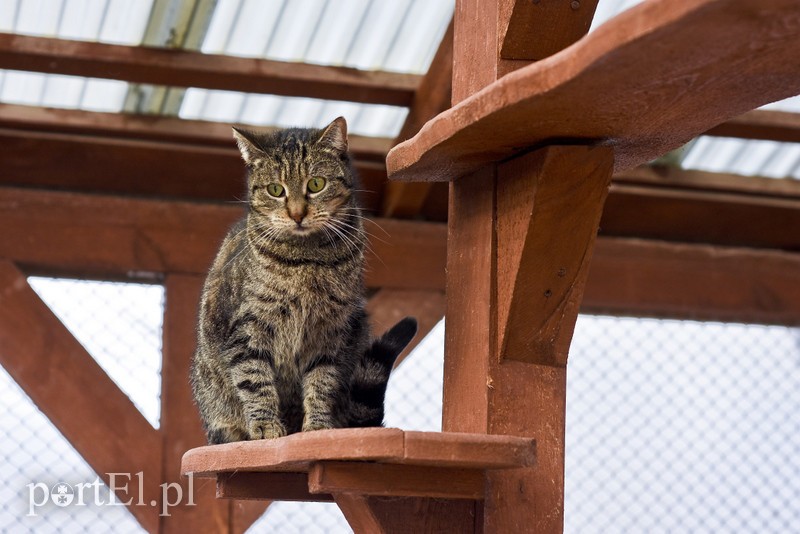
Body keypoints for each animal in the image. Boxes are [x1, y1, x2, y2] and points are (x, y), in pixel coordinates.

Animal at [192, 118, 418, 448]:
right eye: (276, 190)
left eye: (315, 184)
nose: (297, 214)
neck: (308, 260)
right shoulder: (248, 328)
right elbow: (254, 379)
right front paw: (265, 427)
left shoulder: (330, 331)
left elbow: (322, 381)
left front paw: (318, 428)